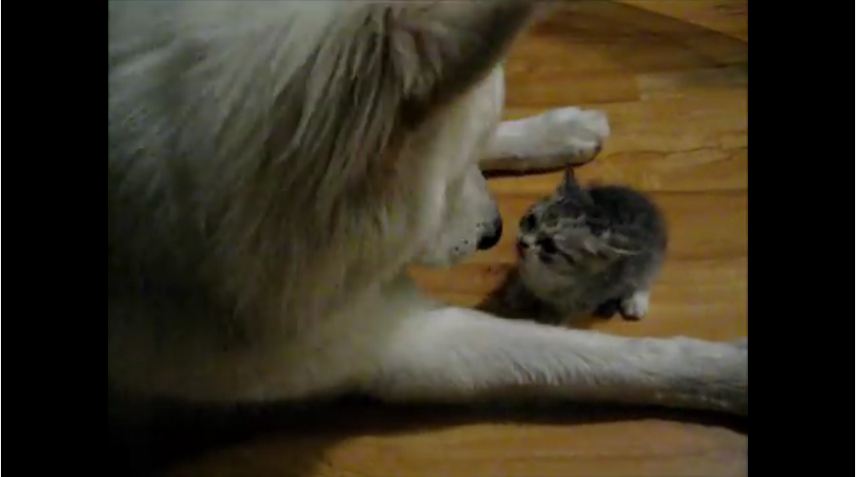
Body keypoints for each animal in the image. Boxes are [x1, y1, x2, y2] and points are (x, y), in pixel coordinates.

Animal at [502, 168, 668, 324]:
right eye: (530, 221)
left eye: (550, 246)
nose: (522, 243)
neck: (547, 274)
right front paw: (519, 292)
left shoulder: (583, 300)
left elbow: (560, 312)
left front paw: (548, 322)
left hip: (651, 252)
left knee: (645, 274)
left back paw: (635, 300)